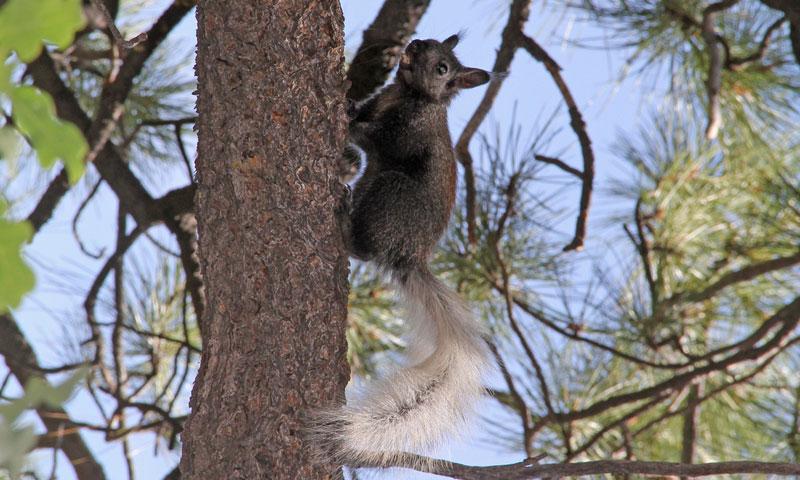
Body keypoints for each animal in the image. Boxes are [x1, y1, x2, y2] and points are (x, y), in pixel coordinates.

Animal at [314, 34, 493, 467]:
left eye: (443, 68)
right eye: (430, 40)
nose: (413, 44)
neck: (408, 94)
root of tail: (409, 256)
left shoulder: (407, 132)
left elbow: (377, 136)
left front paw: (347, 117)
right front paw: (348, 101)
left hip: (391, 193)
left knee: (363, 249)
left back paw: (343, 220)